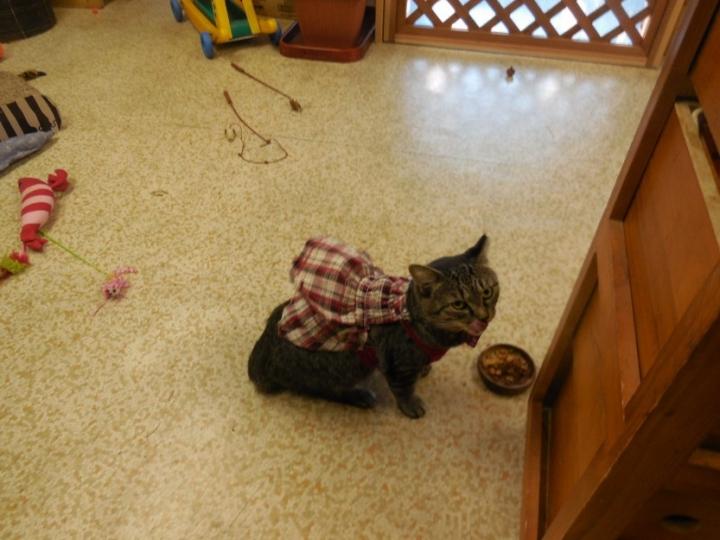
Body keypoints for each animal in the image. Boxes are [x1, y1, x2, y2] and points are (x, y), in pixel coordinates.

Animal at [248, 235, 499, 419]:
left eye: (487, 292)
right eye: (459, 304)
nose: (484, 316)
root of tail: (261, 355)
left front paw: (425, 368)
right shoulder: (398, 365)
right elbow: (403, 389)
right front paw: (411, 405)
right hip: (347, 364)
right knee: (326, 390)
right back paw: (359, 395)